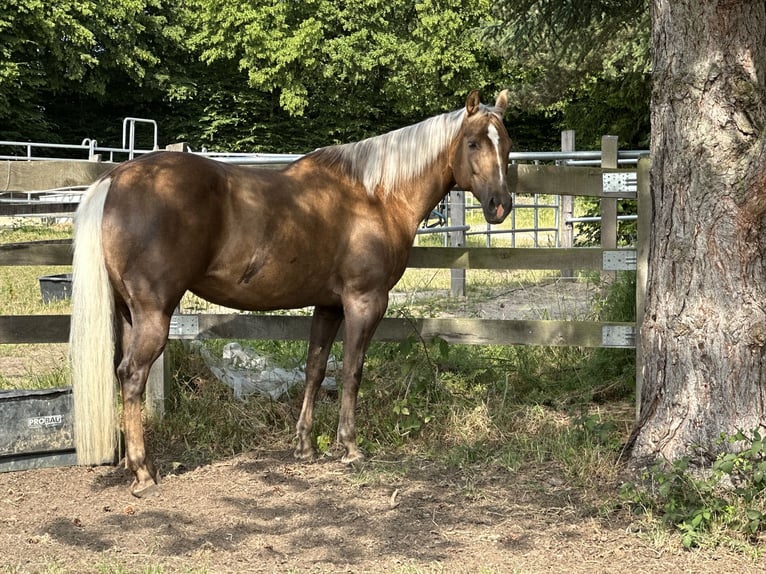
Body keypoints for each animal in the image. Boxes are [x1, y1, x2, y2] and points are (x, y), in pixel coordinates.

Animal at [69, 90, 513, 496]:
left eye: (506, 143)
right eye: (473, 143)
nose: (501, 205)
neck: (375, 195)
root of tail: (115, 178)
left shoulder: (329, 306)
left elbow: (315, 368)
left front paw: (304, 446)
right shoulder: (364, 301)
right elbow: (351, 371)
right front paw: (349, 446)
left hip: (129, 314)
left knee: (122, 374)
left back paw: (132, 464)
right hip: (154, 314)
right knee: (132, 375)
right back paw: (143, 473)